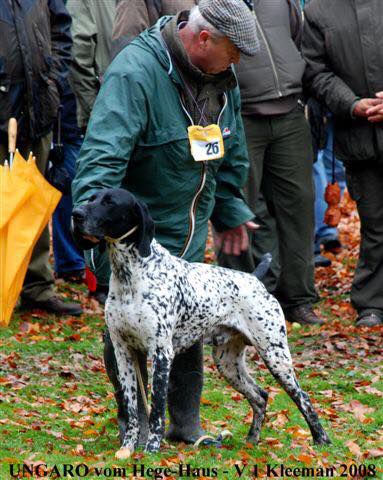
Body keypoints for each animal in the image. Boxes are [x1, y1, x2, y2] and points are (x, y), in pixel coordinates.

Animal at [72, 188, 330, 458]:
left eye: (109, 202)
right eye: (91, 198)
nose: (75, 214)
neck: (130, 276)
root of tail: (255, 278)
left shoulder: (162, 353)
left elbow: (156, 412)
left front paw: (152, 449)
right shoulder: (124, 353)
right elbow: (133, 410)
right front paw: (128, 448)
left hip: (275, 355)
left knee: (303, 398)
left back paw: (321, 440)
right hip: (228, 362)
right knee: (260, 396)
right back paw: (251, 440)